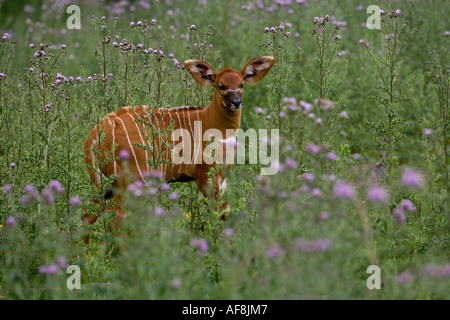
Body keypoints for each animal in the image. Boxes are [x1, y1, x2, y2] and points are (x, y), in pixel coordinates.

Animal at [82, 55, 276, 232]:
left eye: (241, 84)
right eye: (221, 86)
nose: (236, 102)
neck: (212, 122)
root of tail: (94, 135)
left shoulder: (221, 176)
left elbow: (225, 213)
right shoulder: (204, 174)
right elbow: (216, 214)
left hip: (107, 184)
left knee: (88, 213)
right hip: (130, 180)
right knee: (115, 216)